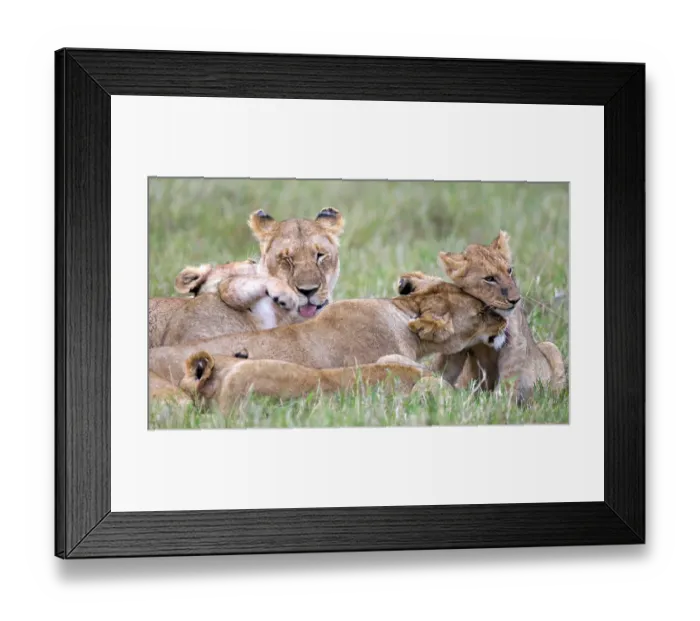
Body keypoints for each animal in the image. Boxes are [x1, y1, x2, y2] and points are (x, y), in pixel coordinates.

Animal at [398, 232, 567, 404]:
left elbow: (508, 378)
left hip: (550, 348)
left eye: (509, 271)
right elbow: (441, 369)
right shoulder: (458, 344)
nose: (515, 300)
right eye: (489, 278)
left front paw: (500, 405)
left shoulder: (515, 342)